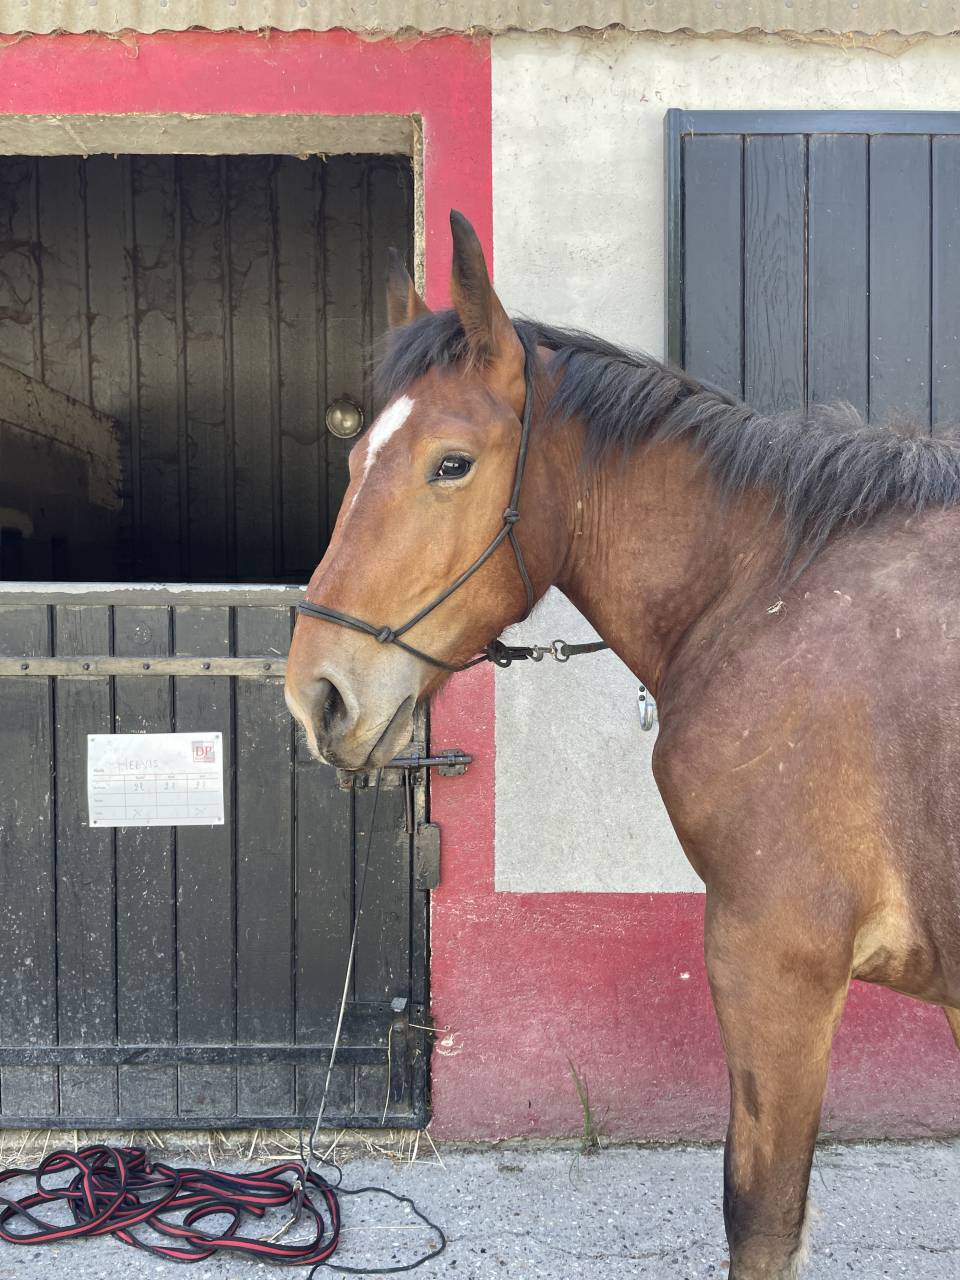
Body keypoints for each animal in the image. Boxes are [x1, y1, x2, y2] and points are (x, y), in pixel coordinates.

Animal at [285, 210, 960, 1279]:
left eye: (450, 463)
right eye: (356, 464)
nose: (317, 693)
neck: (773, 589)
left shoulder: (775, 957)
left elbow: (762, 1214)